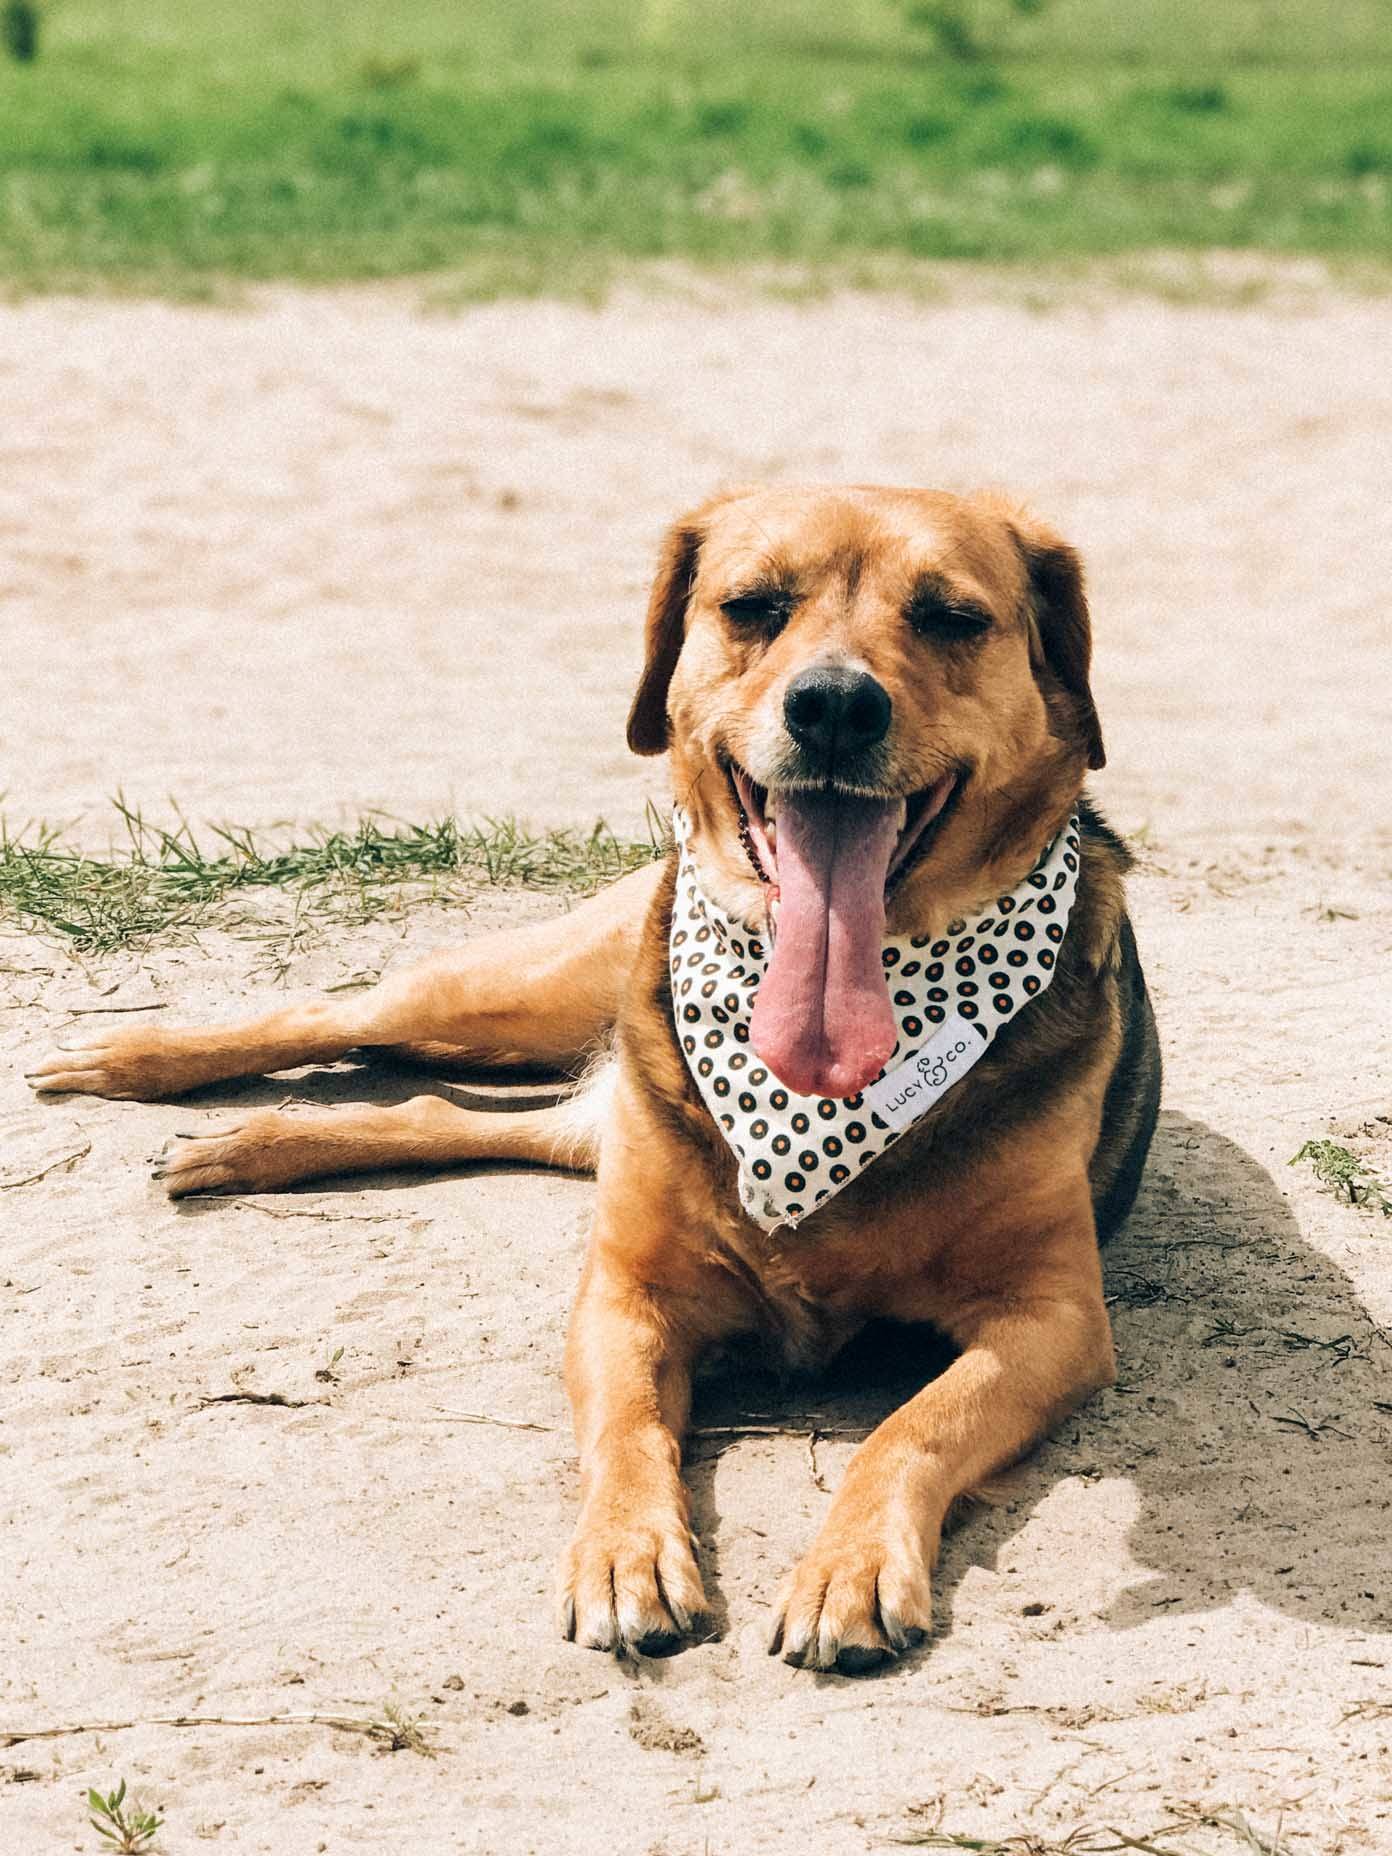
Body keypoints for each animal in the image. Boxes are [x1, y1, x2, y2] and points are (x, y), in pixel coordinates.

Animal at [32, 486, 1165, 1677]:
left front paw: (849, 1566)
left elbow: (910, 1428)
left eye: (952, 617)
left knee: (447, 1112)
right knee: (345, 1015)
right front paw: (626, 1553)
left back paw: (255, 1146)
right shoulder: (625, 1294)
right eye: (751, 606)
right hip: (510, 992)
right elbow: (628, 1432)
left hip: (588, 1097)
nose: (834, 708)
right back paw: (139, 1064)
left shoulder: (1052, 1322)